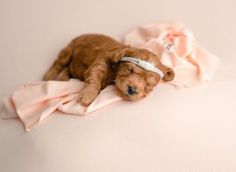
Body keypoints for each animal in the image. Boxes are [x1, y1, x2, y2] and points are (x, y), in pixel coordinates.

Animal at [43, 33, 174, 106]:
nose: (132, 90)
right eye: (129, 70)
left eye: (148, 85)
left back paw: (63, 78)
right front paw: (87, 96)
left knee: (67, 68)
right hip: (69, 50)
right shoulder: (99, 64)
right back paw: (48, 77)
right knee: (58, 63)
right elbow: (94, 79)